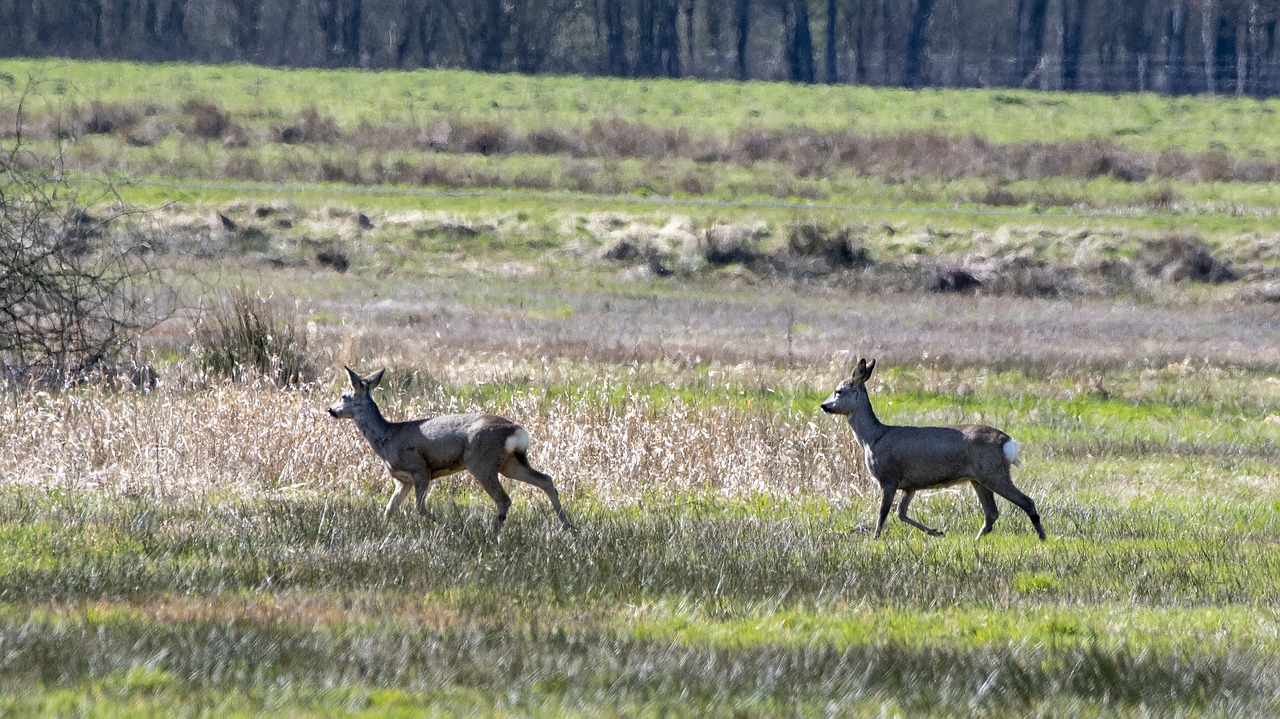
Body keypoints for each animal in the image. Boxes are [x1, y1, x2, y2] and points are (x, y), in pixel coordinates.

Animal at [327, 365, 573, 529]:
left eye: (344, 395)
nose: (330, 410)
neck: (387, 438)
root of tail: (517, 431)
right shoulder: (403, 480)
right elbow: (389, 509)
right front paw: (384, 528)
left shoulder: (420, 469)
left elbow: (420, 508)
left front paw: (448, 525)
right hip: (510, 463)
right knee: (546, 480)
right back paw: (568, 526)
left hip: (480, 460)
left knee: (504, 499)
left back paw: (492, 532)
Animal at [824, 358, 1044, 537]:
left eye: (838, 391)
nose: (824, 406)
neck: (873, 438)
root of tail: (1008, 442)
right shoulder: (910, 485)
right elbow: (901, 513)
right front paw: (936, 532)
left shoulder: (888, 477)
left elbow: (883, 514)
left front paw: (875, 539)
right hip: (978, 478)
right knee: (991, 513)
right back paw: (976, 539)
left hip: (993, 472)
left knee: (1026, 501)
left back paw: (1042, 538)